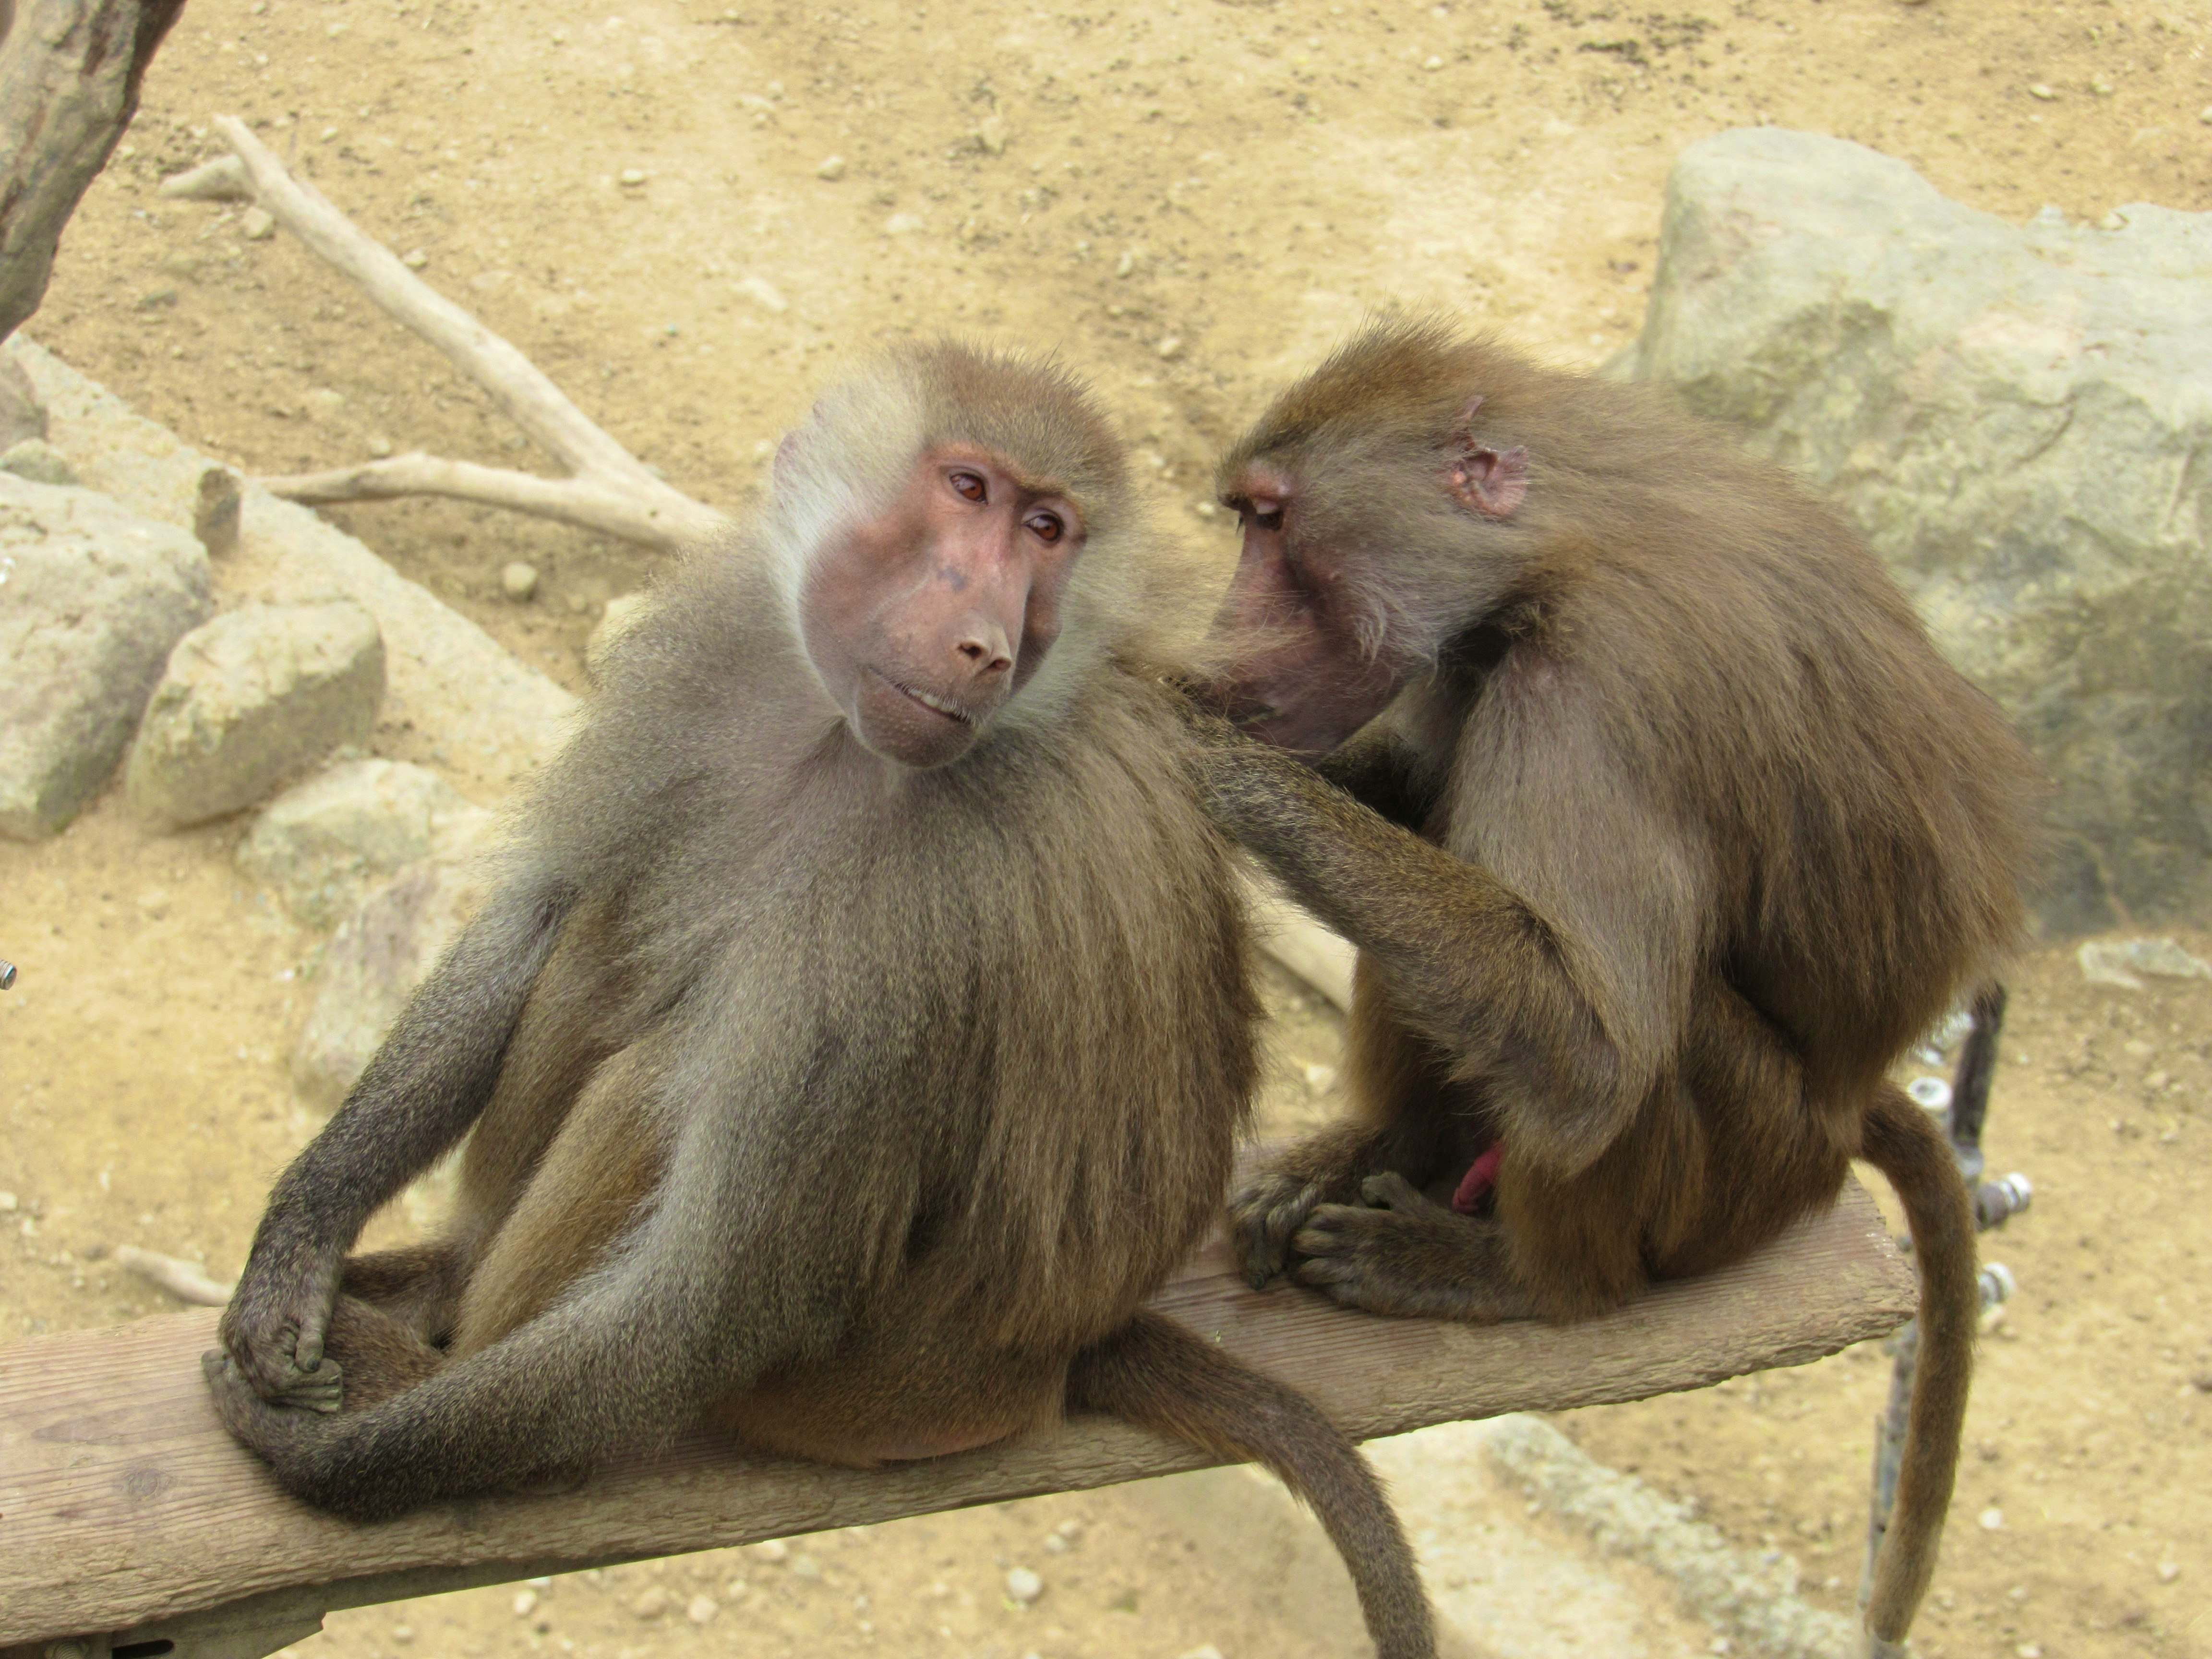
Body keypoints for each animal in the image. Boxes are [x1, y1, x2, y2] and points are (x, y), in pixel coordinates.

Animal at [201, 343, 1436, 1659]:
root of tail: (1062, 1349)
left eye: (1049, 530)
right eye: (969, 490)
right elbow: (541, 910)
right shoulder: (719, 662)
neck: (848, 740)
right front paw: (295, 1246)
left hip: (878, 1390)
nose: (982, 644)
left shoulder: (911, 928)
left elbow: (705, 1302)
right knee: (604, 938)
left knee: (663, 1100)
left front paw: (326, 1459)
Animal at [1180, 319, 2043, 1648]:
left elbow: (1593, 1048)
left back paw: (1517, 1277)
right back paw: (1401, 1145)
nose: (1226, 631)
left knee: (1650, 1036)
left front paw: (1196, 746)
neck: (1555, 551)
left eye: (1272, 523)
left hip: (1752, 1166)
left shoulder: (1595, 690)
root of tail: (1845, 1113)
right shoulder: (1479, 658)